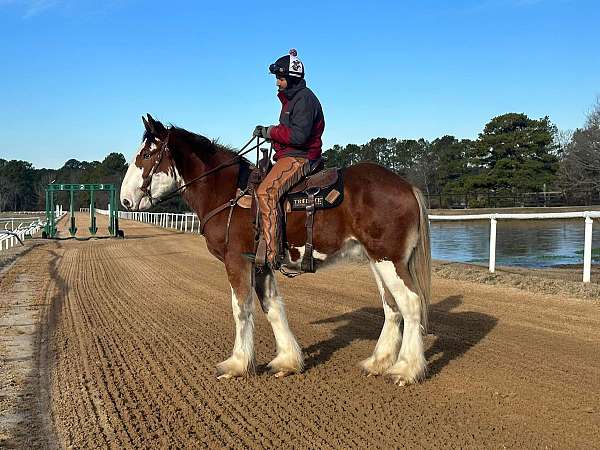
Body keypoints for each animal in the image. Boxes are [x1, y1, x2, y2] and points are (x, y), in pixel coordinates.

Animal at [120, 114, 432, 384]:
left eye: (145, 155)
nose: (124, 200)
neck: (228, 192)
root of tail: (407, 186)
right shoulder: (261, 264)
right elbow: (272, 308)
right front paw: (287, 361)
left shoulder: (237, 261)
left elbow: (241, 309)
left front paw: (237, 364)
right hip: (376, 261)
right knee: (392, 306)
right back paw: (379, 362)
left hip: (389, 260)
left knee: (410, 303)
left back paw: (405, 369)